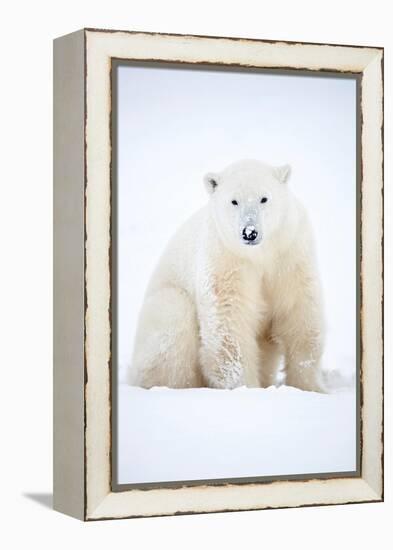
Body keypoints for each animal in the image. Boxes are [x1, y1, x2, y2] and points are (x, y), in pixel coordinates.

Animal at [129, 160, 324, 392]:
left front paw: (310, 388)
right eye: (234, 201)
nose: (249, 232)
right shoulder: (225, 257)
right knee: (174, 321)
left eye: (264, 198)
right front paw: (246, 388)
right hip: (164, 307)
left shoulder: (289, 255)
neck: (260, 254)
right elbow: (229, 323)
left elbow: (299, 314)